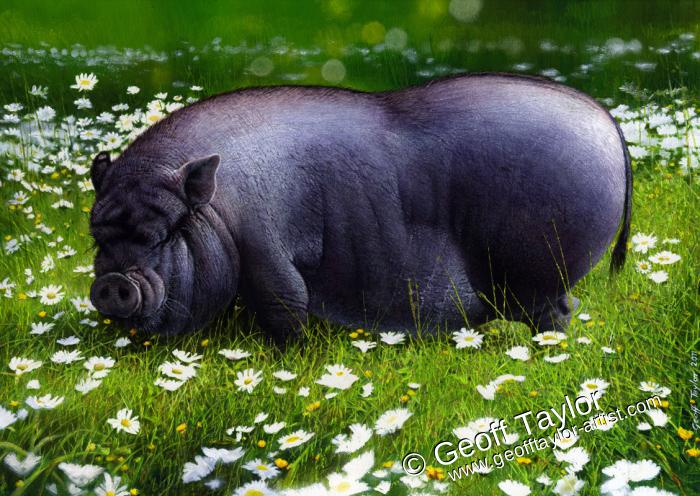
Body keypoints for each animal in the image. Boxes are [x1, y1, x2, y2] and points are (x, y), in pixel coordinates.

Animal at [87, 72, 628, 340]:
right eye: (96, 236)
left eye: (162, 234)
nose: (113, 282)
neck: (220, 207)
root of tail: (605, 118)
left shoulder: (265, 248)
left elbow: (286, 304)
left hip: (538, 268)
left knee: (559, 310)